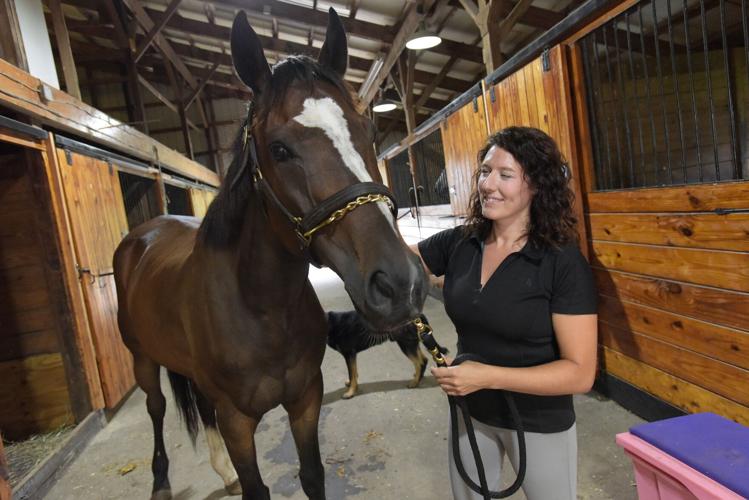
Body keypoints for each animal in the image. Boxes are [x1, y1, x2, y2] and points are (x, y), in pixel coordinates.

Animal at [113, 9, 427, 500]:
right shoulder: (238, 422)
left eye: (370, 131)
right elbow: (255, 486)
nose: (400, 285)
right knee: (157, 408)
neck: (261, 308)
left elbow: (312, 474)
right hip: (142, 359)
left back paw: (221, 473)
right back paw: (161, 481)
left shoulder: (305, 400)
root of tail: (143, 234)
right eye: (279, 149)